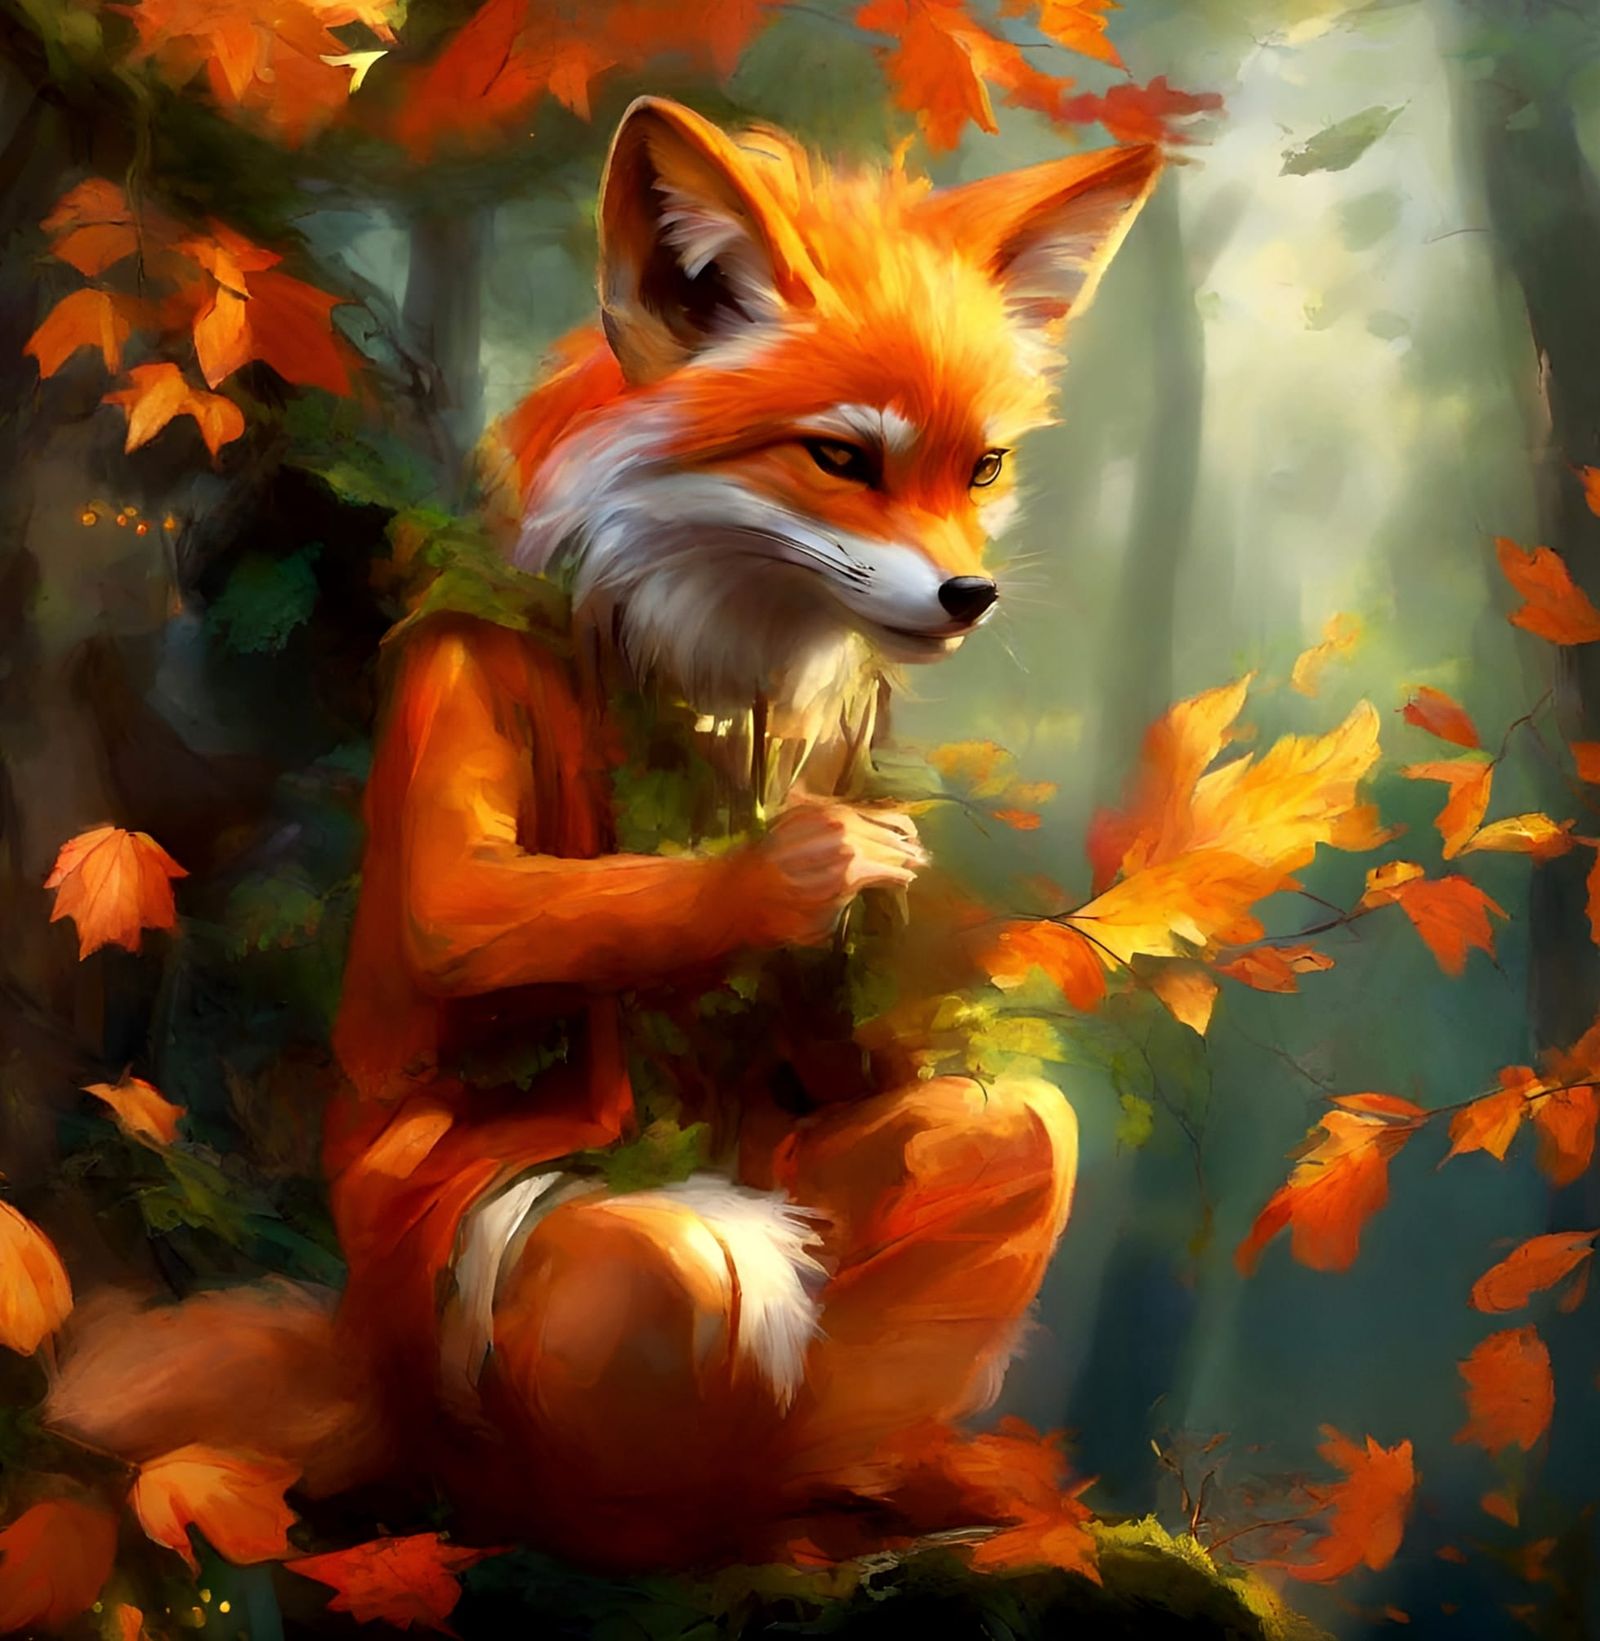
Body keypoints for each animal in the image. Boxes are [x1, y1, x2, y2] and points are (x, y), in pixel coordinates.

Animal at [49, 98, 1159, 1571]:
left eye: (979, 467)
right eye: (842, 457)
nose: (968, 594)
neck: (712, 664)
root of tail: (364, 1369)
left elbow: (864, 1056)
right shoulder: (464, 682)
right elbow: (463, 903)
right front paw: (788, 868)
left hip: (875, 1188)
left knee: (1002, 1137)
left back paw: (844, 1498)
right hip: (536, 1304)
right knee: (679, 1277)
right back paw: (646, 1537)